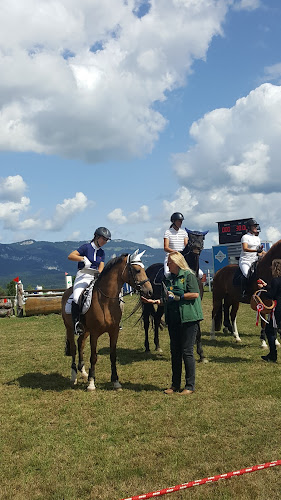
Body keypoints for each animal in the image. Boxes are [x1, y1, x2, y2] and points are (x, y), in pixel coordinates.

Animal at [61, 250, 152, 390]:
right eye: (137, 270)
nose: (150, 291)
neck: (106, 300)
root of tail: (67, 292)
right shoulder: (94, 333)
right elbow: (93, 357)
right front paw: (91, 383)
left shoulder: (114, 331)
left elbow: (113, 355)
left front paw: (116, 381)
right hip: (70, 328)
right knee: (73, 349)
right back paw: (74, 376)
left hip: (85, 330)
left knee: (80, 343)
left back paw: (83, 372)